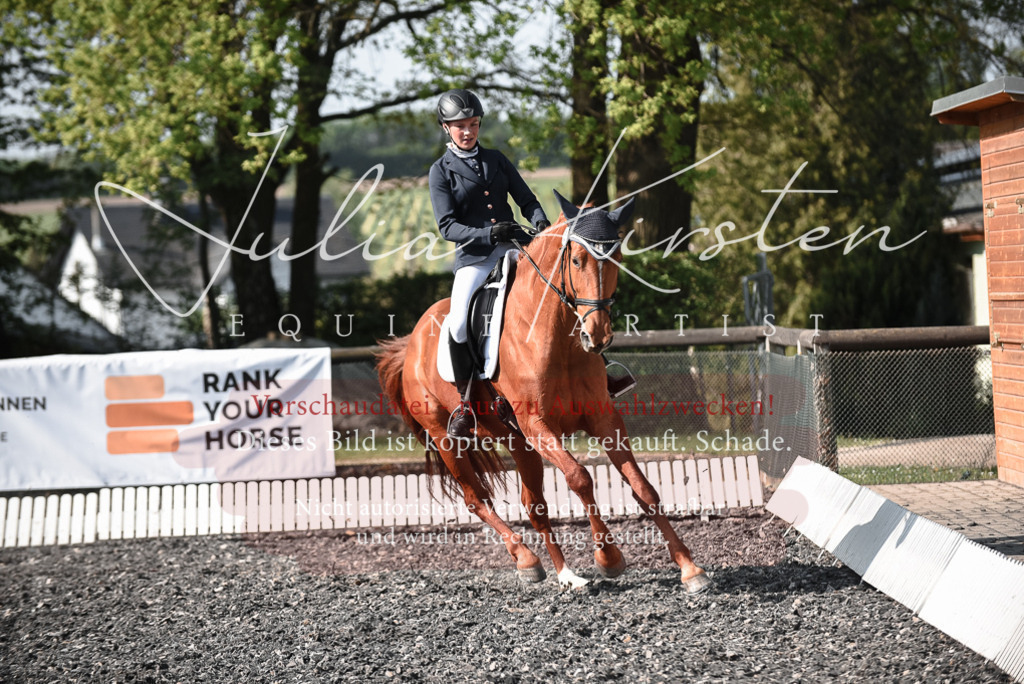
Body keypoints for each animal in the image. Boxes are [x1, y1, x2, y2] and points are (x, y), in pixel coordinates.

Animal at [376, 191, 711, 593]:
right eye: (577, 259)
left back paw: (562, 572)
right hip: (448, 439)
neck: (558, 339)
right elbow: (580, 478)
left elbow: (643, 487)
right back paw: (527, 558)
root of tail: (409, 345)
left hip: (519, 443)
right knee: (476, 499)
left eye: (616, 258)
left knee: (532, 503)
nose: (597, 336)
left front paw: (690, 568)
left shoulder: (602, 418)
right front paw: (609, 558)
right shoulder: (538, 423)